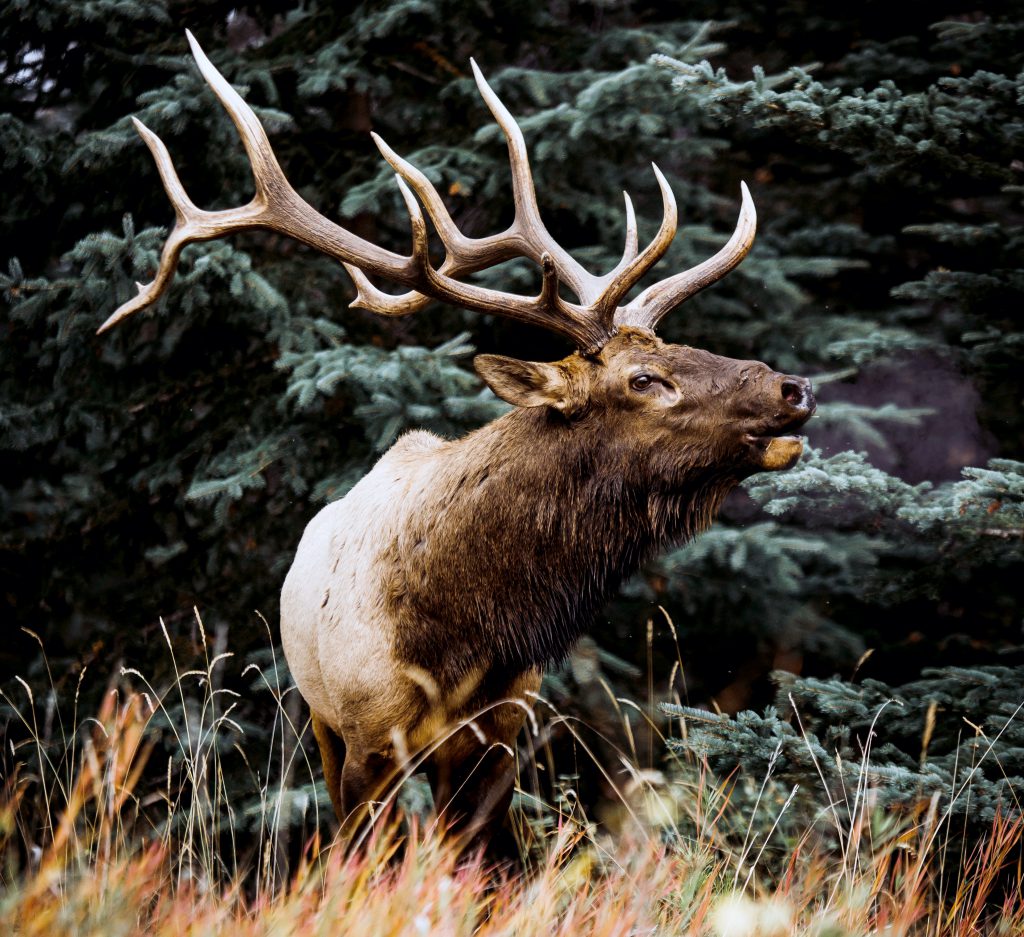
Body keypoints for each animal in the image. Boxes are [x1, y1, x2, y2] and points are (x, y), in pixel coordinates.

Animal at [96, 34, 815, 856]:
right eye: (643, 378)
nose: (793, 388)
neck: (463, 634)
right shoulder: (365, 733)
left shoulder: (501, 733)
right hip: (318, 716)